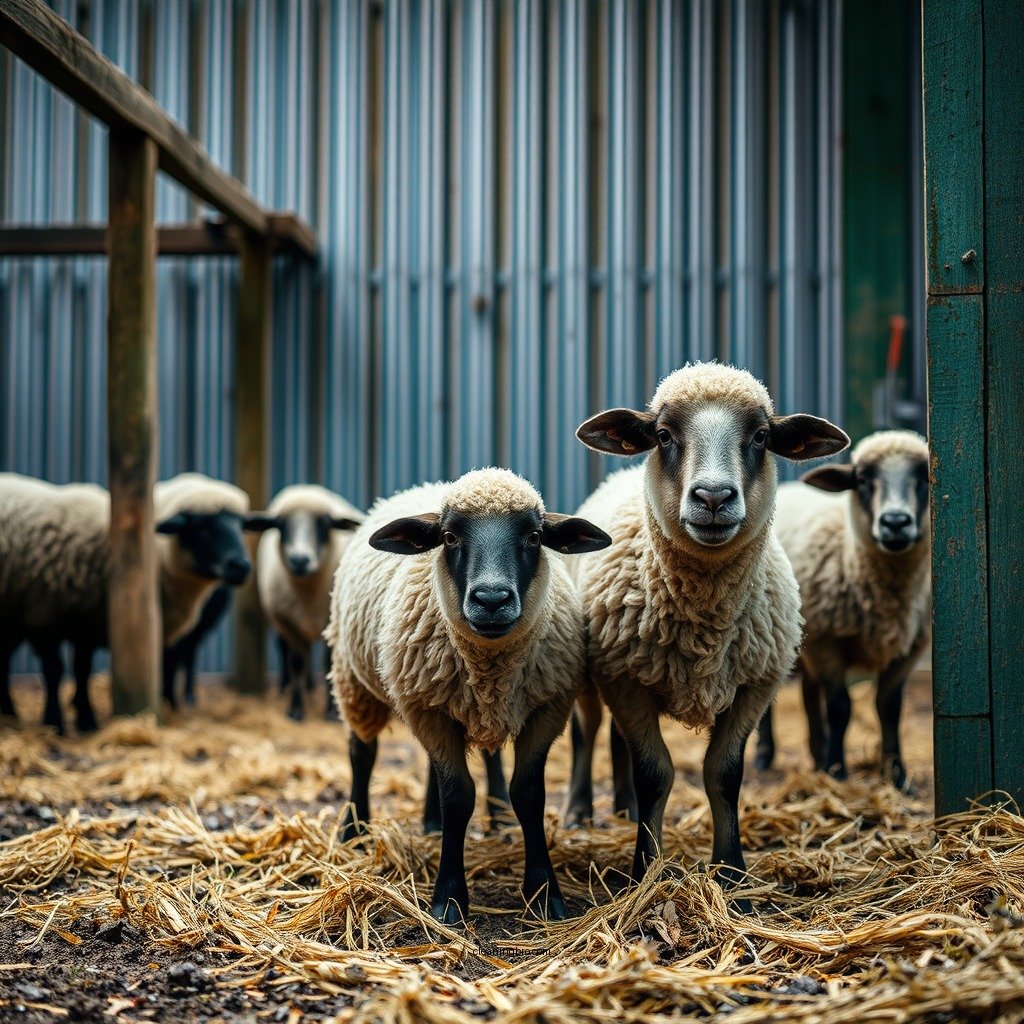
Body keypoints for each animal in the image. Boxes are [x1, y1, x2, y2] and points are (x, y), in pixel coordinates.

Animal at [0, 472, 258, 732]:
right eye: (201, 526)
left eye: (241, 526)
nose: (241, 566)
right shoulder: (43, 614)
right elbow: (55, 671)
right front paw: (56, 722)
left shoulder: (86, 624)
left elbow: (84, 670)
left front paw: (86, 720)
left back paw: (9, 713)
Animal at [248, 485, 365, 721]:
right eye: (281, 525)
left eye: (324, 524)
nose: (300, 560)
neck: (307, 594)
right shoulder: (287, 622)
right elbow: (296, 662)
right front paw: (295, 708)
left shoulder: (330, 624)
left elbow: (328, 662)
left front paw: (331, 712)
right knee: (285, 649)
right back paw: (288, 686)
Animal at [325, 468, 611, 923]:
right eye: (449, 537)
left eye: (534, 536)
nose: (491, 599)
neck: (490, 666)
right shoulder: (428, 709)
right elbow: (458, 796)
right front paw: (449, 900)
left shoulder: (547, 709)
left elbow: (529, 794)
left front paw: (544, 894)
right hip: (355, 681)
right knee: (362, 752)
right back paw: (356, 831)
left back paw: (460, 821)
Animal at [565, 362, 849, 909]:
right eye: (663, 435)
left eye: (760, 436)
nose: (713, 497)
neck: (705, 624)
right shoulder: (623, 678)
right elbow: (655, 773)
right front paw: (645, 872)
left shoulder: (755, 686)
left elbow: (724, 774)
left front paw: (733, 877)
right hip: (591, 673)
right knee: (587, 732)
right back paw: (578, 810)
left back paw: (626, 809)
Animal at [754, 430, 931, 791]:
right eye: (862, 479)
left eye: (923, 478)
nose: (895, 522)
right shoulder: (827, 641)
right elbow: (839, 708)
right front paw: (837, 771)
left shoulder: (910, 649)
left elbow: (889, 708)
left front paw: (897, 776)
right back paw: (766, 755)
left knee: (808, 693)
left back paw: (816, 753)